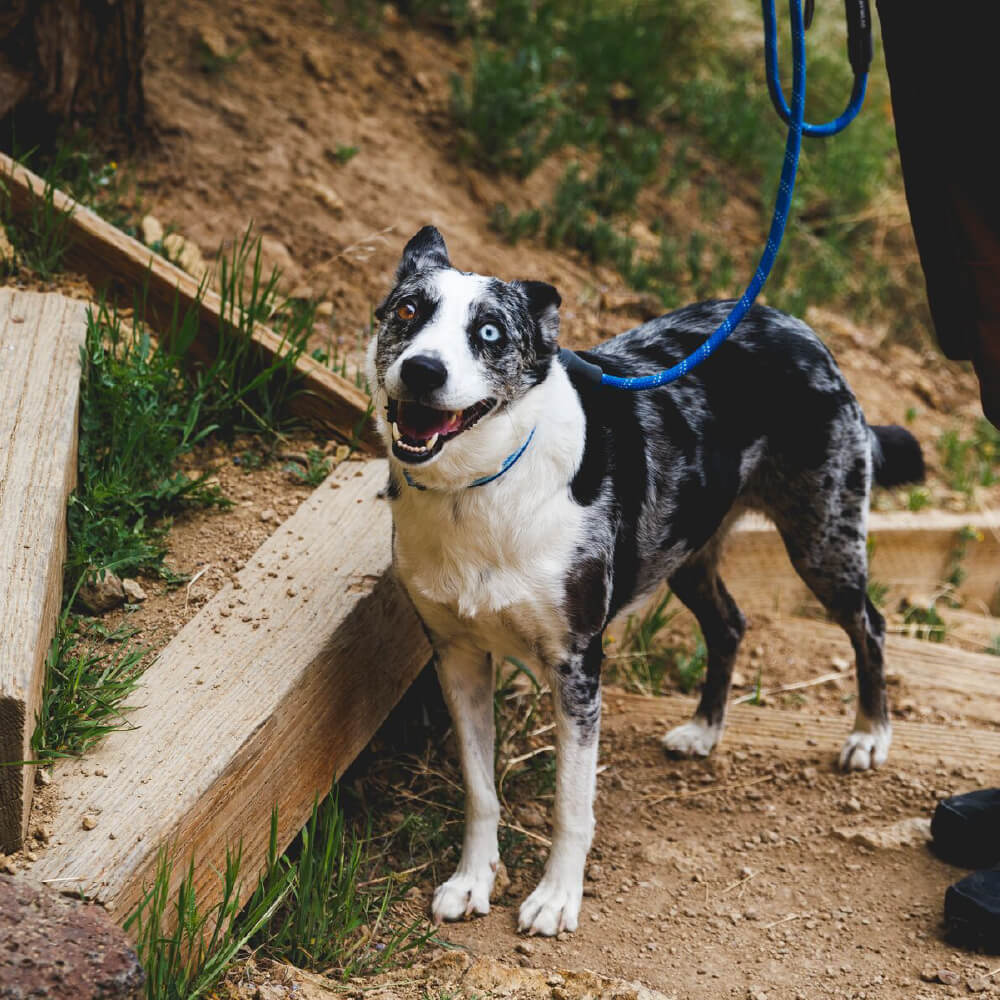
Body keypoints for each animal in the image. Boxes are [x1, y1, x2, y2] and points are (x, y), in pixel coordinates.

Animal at [368, 227, 928, 936]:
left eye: (490, 332)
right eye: (408, 311)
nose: (423, 370)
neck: (479, 489)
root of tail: (800, 329)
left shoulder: (577, 665)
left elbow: (571, 803)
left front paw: (556, 898)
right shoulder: (457, 655)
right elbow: (480, 787)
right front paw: (472, 881)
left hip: (822, 539)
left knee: (870, 625)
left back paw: (868, 735)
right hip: (687, 550)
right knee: (729, 624)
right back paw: (705, 729)